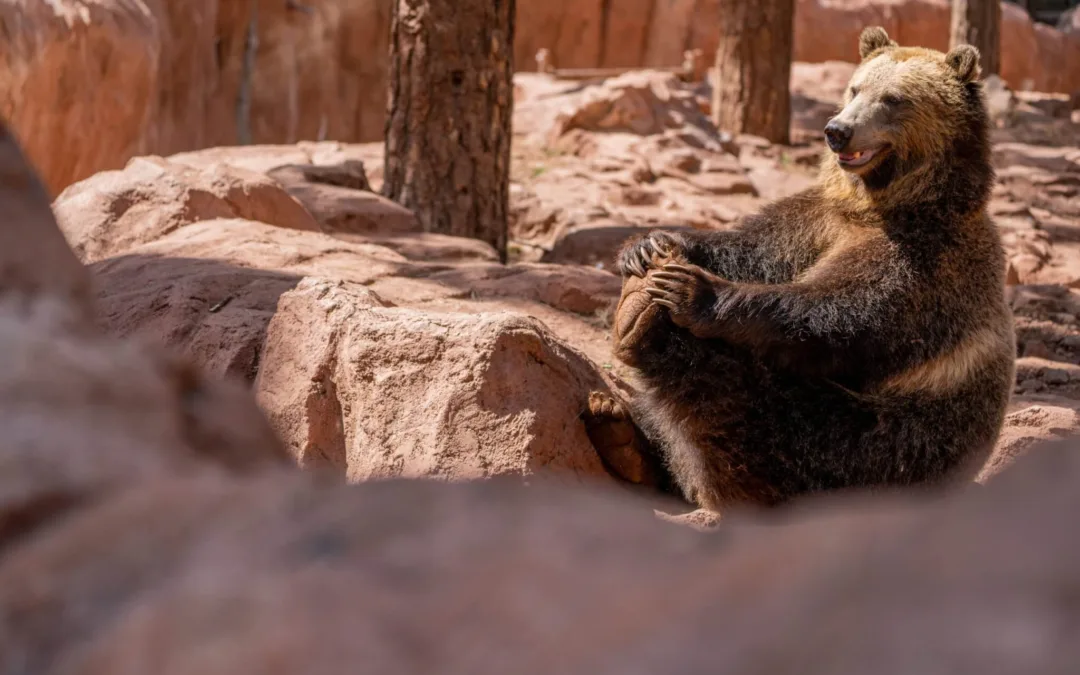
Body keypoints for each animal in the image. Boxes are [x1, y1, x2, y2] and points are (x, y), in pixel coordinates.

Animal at [584, 26, 1015, 512]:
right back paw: (617, 427)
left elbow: (840, 311)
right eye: (855, 88)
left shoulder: (923, 262)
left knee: (751, 404)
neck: (884, 203)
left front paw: (693, 290)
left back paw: (643, 327)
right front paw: (648, 246)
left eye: (893, 98)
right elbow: (755, 248)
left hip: (877, 445)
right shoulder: (818, 221)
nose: (838, 131)